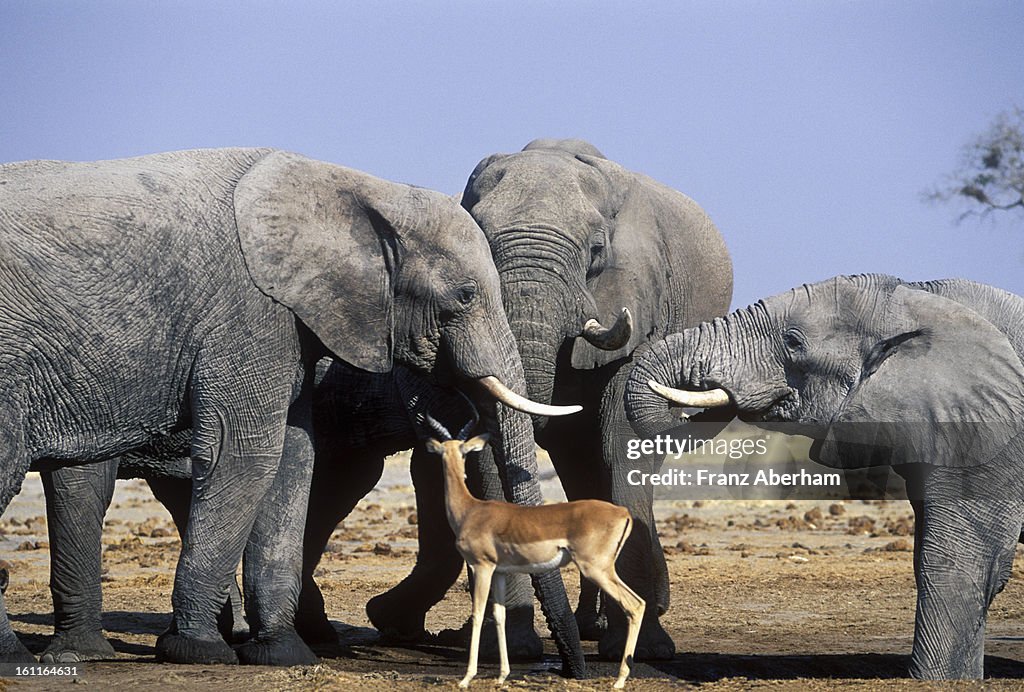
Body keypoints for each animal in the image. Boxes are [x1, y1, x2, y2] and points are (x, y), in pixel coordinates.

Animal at [0, 148, 581, 667]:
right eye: (464, 296)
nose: (564, 669)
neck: (359, 188)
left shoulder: (292, 322)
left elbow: (294, 461)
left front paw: (282, 654)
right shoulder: (248, 311)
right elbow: (248, 457)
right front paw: (201, 652)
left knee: (81, 481)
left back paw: (78, 654)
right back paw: (22, 656)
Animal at [364, 139, 733, 659]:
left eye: (596, 250)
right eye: (482, 244)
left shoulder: (642, 299)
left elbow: (620, 440)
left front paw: (647, 648)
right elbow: (490, 451)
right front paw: (515, 646)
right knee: (577, 465)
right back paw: (583, 626)